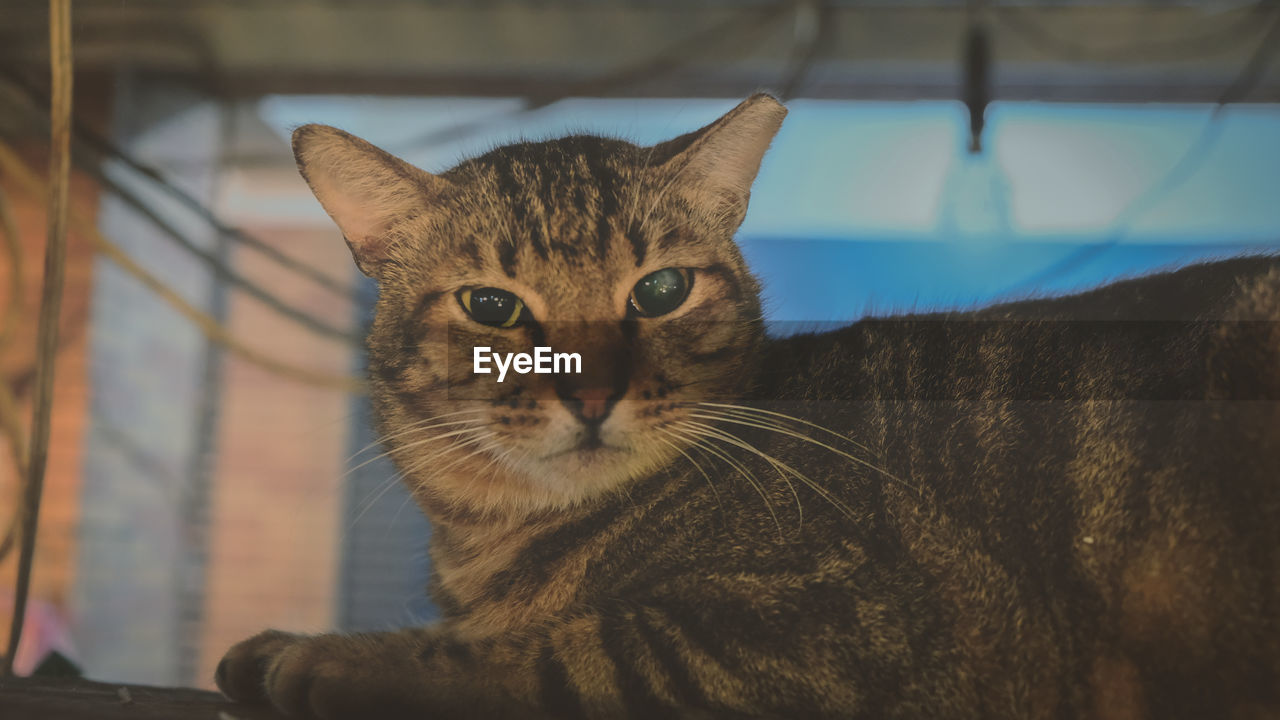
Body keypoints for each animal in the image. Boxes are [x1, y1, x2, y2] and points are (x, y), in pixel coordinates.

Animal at [217, 94, 1280, 712]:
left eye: (658, 291)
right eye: (491, 307)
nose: (593, 392)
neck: (494, 540)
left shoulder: (827, 623)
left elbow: (547, 657)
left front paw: (319, 658)